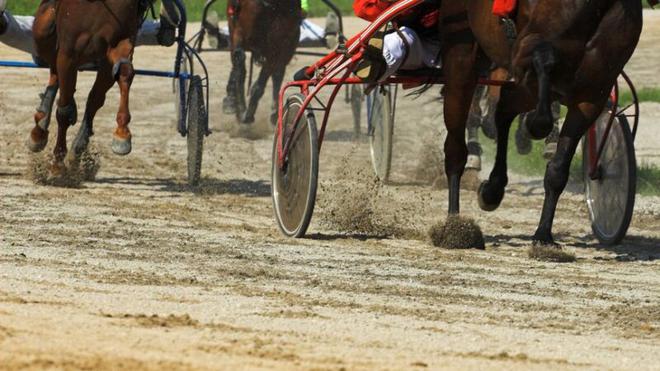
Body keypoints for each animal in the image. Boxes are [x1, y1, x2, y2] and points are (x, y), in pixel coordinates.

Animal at [27, 0, 153, 174]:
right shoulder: (68, 55)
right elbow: (63, 112)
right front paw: (58, 163)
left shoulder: (118, 45)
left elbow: (124, 72)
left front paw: (122, 134)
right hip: (44, 29)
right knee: (55, 73)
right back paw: (40, 128)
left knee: (89, 97)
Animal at [436, 0, 640, 247]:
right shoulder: (523, 52)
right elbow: (544, 59)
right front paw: (532, 126)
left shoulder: (591, 95)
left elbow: (557, 171)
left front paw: (543, 234)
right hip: (462, 53)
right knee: (456, 146)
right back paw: (455, 225)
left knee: (505, 106)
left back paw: (492, 189)